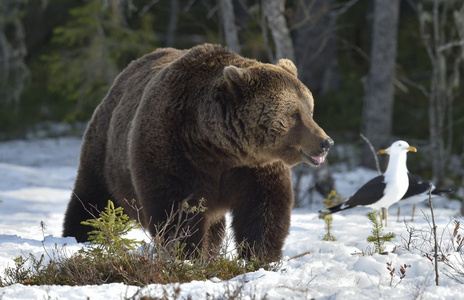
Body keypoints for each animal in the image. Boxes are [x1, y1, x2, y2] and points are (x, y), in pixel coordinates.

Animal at [64, 43, 334, 262]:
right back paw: (80, 236)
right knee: (93, 198)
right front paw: (188, 254)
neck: (218, 145)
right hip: (104, 149)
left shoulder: (254, 167)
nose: (326, 142)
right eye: (294, 115)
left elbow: (264, 208)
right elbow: (177, 209)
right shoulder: (175, 150)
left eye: (309, 110)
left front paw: (260, 256)